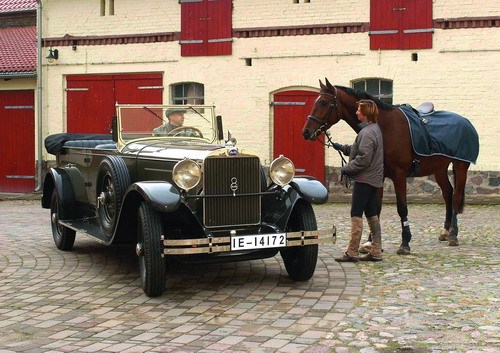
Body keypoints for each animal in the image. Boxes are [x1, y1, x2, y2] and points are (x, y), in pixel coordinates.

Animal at [302, 78, 474, 254]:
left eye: (323, 102)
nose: (306, 132)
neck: (385, 127)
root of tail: (466, 122)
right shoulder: (379, 174)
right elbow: (375, 208)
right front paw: (370, 242)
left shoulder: (399, 175)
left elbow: (402, 208)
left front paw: (405, 243)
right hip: (439, 169)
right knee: (448, 193)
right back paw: (445, 231)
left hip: (460, 166)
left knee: (456, 197)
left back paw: (453, 235)